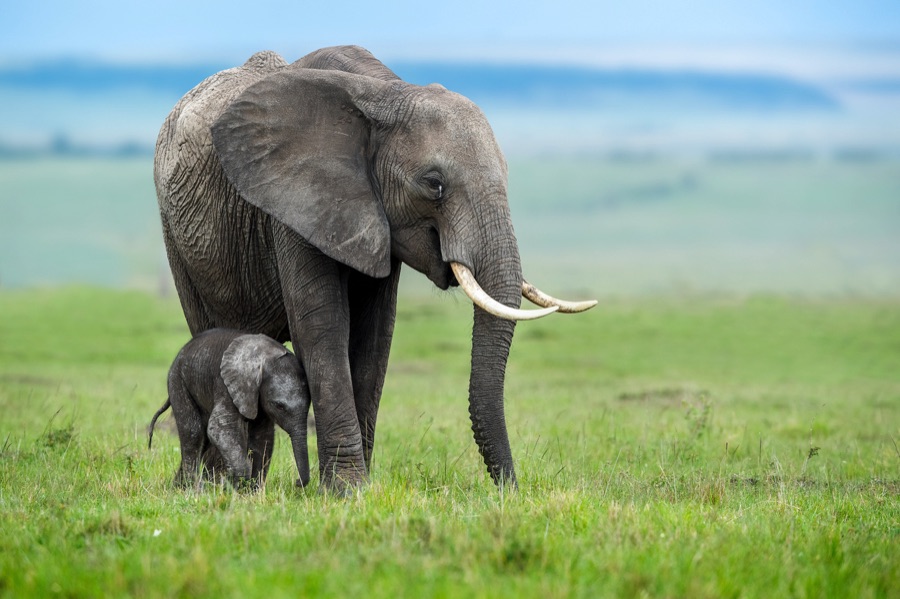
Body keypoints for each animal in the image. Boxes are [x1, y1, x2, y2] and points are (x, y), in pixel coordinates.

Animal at [148, 329, 311, 490]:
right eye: (279, 406)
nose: (297, 482)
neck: (266, 356)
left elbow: (262, 435)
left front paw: (252, 491)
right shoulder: (226, 385)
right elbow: (219, 428)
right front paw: (231, 488)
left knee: (203, 440)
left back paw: (178, 487)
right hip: (178, 381)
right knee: (193, 432)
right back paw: (194, 489)